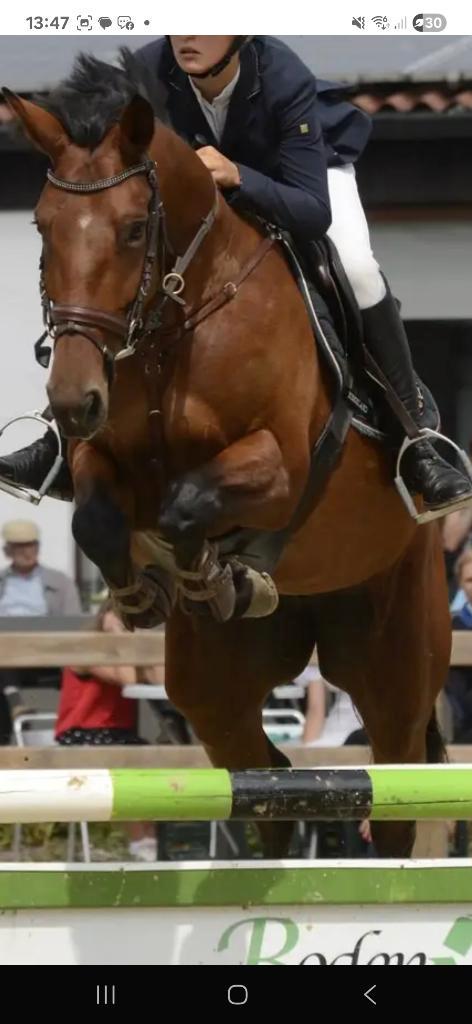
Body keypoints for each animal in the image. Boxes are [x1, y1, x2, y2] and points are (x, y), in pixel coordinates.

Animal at [3, 54, 450, 857]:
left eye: (131, 230)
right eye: (43, 228)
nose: (73, 400)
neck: (174, 322)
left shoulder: (284, 467)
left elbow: (191, 500)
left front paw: (210, 571)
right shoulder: (101, 459)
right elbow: (94, 520)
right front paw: (151, 591)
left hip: (395, 655)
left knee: (396, 786)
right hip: (217, 684)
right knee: (266, 780)